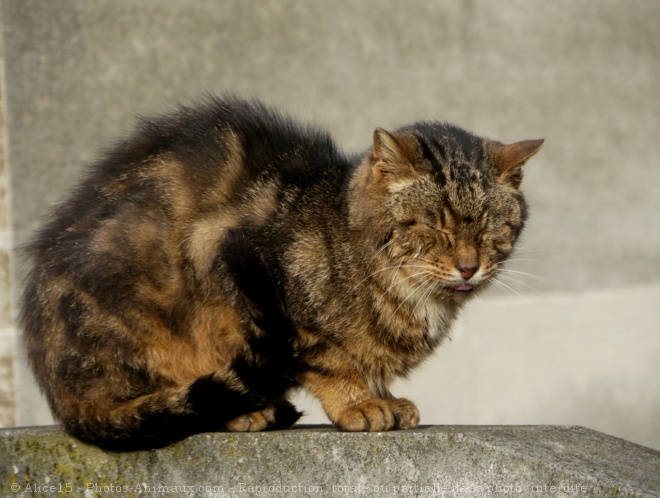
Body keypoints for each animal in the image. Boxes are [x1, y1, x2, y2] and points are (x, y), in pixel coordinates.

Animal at [21, 95, 548, 450]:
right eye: (435, 225)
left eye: (490, 228)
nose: (468, 265)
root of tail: (57, 389)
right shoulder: (237, 259)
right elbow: (328, 360)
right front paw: (359, 402)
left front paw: (385, 396)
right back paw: (245, 412)